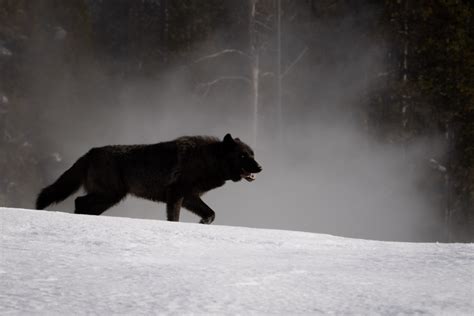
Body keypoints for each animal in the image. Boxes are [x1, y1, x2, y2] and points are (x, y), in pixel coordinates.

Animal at [35, 135, 262, 223]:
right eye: (244, 156)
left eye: (253, 154)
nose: (260, 167)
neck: (208, 160)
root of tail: (90, 152)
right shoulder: (176, 195)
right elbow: (174, 218)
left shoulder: (190, 197)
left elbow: (211, 214)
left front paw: (201, 223)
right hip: (110, 195)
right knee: (78, 201)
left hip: (108, 198)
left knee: (82, 204)